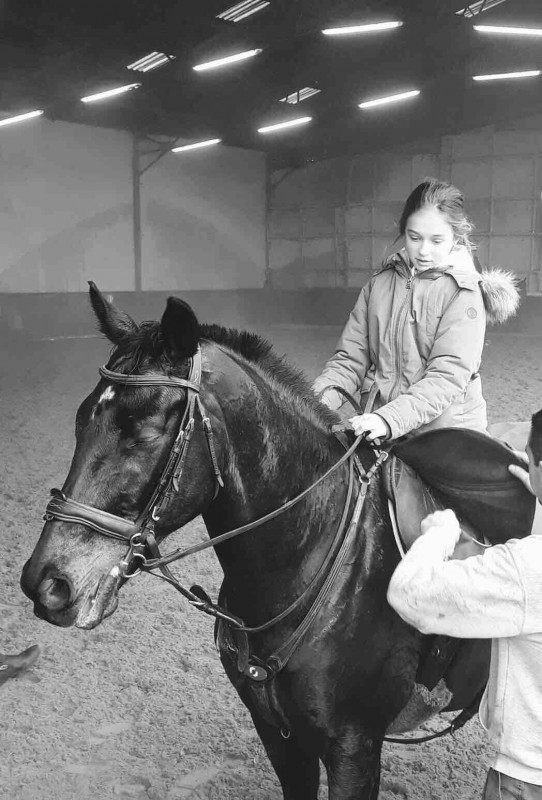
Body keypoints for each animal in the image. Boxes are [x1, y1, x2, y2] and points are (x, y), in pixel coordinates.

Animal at [21, 283, 492, 799]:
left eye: (142, 431)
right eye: (81, 418)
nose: (47, 582)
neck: (313, 560)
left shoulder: (355, 748)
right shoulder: (278, 735)